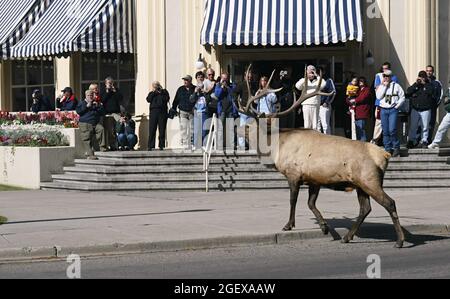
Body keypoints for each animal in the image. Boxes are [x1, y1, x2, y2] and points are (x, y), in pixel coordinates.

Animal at [237, 65, 406, 248]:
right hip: (361, 184)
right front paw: (325, 227)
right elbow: (311, 203)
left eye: (248, 125)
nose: (237, 128)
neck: (277, 148)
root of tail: (385, 155)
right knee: (365, 208)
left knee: (390, 203)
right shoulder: (314, 179)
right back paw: (347, 237)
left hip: (370, 180)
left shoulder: (293, 174)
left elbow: (293, 200)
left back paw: (399, 241)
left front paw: (288, 225)